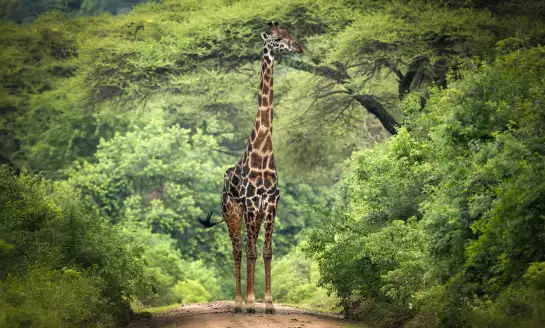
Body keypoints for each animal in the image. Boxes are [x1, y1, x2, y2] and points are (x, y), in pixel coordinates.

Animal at [199, 21, 304, 316]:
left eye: (290, 33)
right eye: (277, 39)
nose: (299, 47)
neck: (263, 153)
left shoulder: (270, 204)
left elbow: (266, 252)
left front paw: (267, 303)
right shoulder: (248, 204)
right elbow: (249, 252)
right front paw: (250, 302)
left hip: (253, 215)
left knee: (250, 249)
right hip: (232, 214)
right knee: (237, 251)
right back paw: (238, 303)